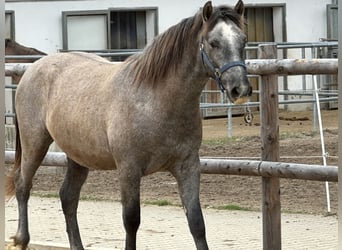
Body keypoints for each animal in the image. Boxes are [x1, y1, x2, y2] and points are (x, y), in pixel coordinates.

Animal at [4, 0, 251, 249]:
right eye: (213, 42)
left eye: (243, 40)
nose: (240, 89)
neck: (156, 99)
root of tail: (32, 70)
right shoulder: (129, 169)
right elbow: (131, 221)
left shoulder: (188, 166)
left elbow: (196, 222)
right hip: (35, 144)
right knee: (23, 185)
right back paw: (21, 239)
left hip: (78, 156)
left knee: (68, 197)